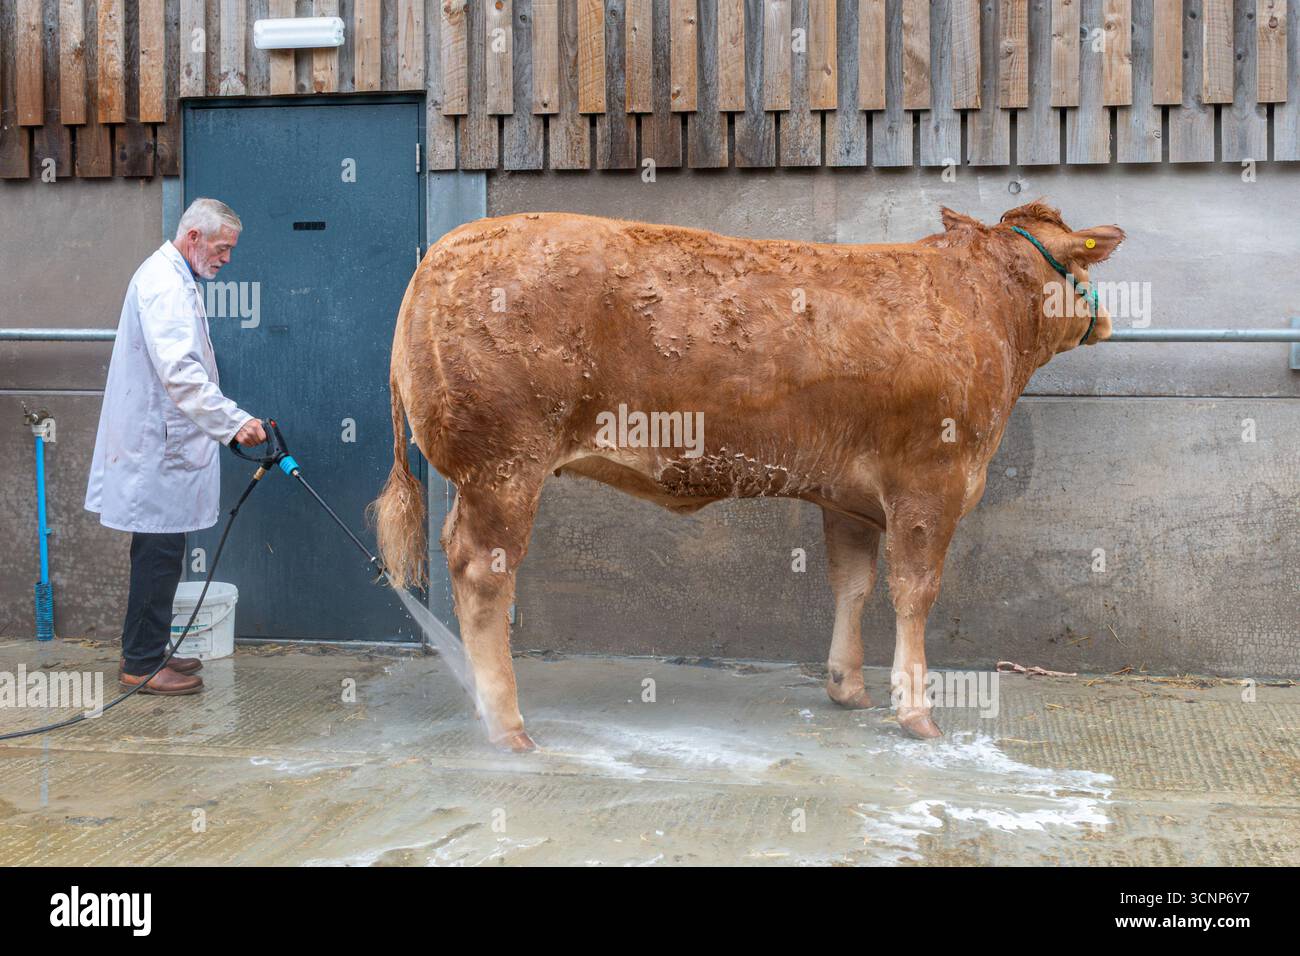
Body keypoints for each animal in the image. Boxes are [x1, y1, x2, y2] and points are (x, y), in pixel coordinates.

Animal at [373, 201, 1124, 751]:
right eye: (1081, 264)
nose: (1109, 318)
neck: (984, 309)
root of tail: (440, 254)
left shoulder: (848, 496)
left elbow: (852, 583)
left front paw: (847, 686)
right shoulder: (932, 482)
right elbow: (915, 592)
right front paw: (916, 713)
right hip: (504, 465)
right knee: (482, 573)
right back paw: (507, 725)